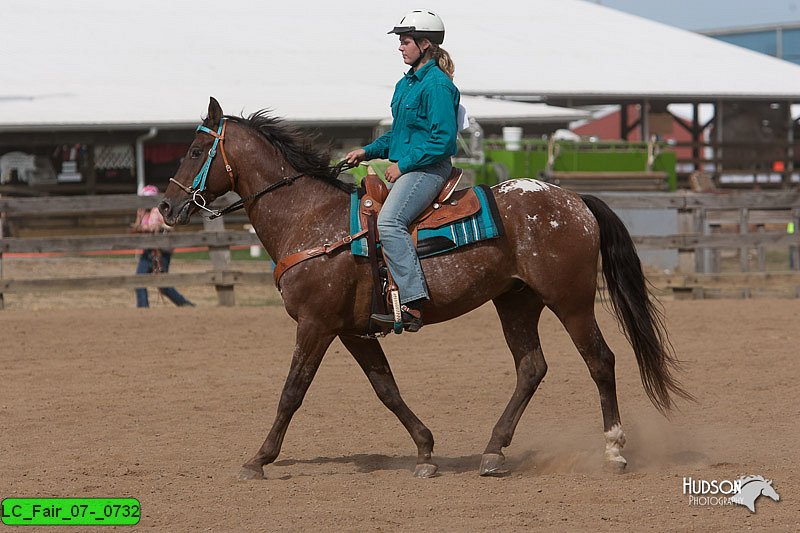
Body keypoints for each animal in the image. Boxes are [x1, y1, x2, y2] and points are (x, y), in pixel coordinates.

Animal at [159, 97, 692, 480]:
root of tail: (573, 199)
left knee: (600, 360)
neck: (311, 220)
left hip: (571, 301)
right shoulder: (352, 330)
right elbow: (386, 389)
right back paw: (493, 452)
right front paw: (425, 450)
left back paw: (614, 452)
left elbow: (292, 391)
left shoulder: (316, 325)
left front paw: (258, 459)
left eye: (193, 151)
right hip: (516, 302)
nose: (165, 207)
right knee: (531, 368)